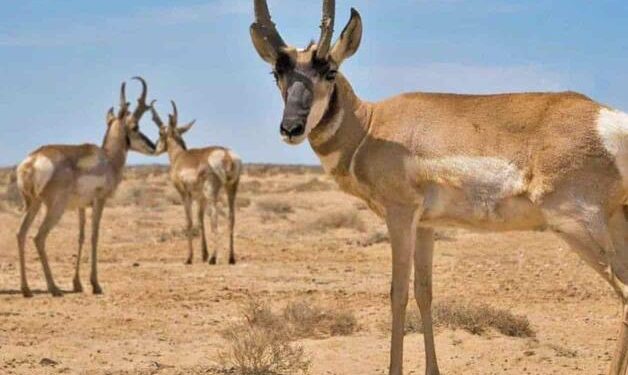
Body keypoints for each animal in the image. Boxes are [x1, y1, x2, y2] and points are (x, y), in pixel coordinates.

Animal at [15, 78, 156, 298]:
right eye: (135, 126)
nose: (154, 146)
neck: (108, 159)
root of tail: (33, 160)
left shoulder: (81, 206)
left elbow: (80, 237)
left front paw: (77, 284)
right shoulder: (99, 201)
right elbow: (94, 236)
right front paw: (96, 285)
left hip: (33, 204)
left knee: (21, 234)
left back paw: (27, 289)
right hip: (54, 208)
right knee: (38, 237)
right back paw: (54, 288)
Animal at [151, 101, 242, 266]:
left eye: (160, 133)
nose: (155, 148)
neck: (180, 156)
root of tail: (226, 154)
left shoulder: (185, 194)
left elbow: (189, 221)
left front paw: (189, 258)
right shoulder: (200, 197)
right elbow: (200, 221)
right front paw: (203, 255)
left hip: (212, 193)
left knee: (214, 219)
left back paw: (213, 258)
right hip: (231, 188)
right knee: (231, 217)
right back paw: (231, 258)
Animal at [250, 1, 628, 374]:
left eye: (329, 71)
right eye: (278, 73)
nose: (291, 128)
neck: (371, 127)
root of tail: (609, 118)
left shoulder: (400, 216)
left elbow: (398, 293)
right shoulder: (426, 227)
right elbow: (424, 291)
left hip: (576, 228)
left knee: (625, 293)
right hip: (614, 224)